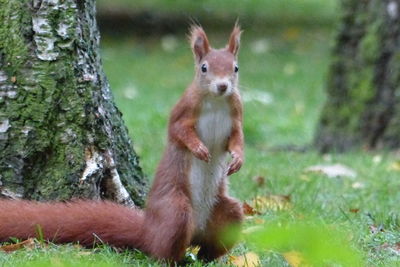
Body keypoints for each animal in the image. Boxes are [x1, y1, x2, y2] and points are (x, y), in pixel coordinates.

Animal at [0, 24, 244, 264]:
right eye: (204, 68)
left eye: (235, 68)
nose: (222, 86)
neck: (216, 101)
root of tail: (149, 231)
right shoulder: (184, 109)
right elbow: (178, 132)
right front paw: (198, 148)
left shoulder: (236, 114)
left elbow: (237, 139)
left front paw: (238, 159)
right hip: (176, 212)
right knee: (163, 250)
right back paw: (176, 258)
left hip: (229, 214)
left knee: (215, 240)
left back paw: (207, 257)